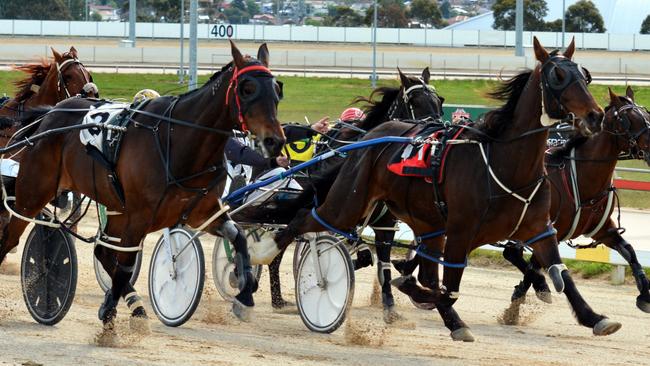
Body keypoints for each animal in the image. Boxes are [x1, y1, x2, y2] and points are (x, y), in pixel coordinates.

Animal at [0, 42, 284, 326]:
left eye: (277, 90)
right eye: (247, 89)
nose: (275, 141)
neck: (180, 141)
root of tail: (49, 115)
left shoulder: (202, 212)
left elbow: (239, 238)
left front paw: (245, 295)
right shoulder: (140, 215)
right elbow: (126, 265)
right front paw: (109, 312)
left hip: (114, 206)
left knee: (102, 251)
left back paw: (135, 302)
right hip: (32, 196)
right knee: (9, 239)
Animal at [247, 37, 616, 340]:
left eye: (585, 76)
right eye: (558, 76)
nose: (595, 115)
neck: (505, 163)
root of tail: (369, 139)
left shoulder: (540, 228)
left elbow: (560, 274)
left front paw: (594, 317)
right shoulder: (461, 230)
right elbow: (446, 287)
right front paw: (418, 294)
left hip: (424, 221)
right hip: (349, 203)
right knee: (303, 220)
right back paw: (267, 257)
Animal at [502, 86, 648, 312]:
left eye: (647, 115)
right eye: (628, 119)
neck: (580, 176)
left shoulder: (603, 230)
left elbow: (629, 251)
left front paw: (644, 294)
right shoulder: (549, 230)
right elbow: (537, 265)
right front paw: (522, 298)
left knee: (512, 252)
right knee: (511, 252)